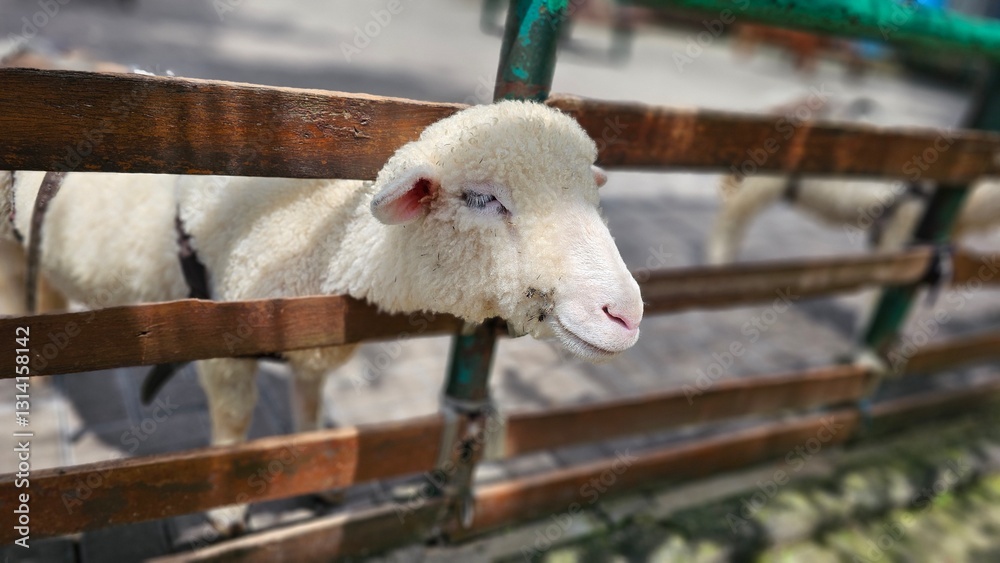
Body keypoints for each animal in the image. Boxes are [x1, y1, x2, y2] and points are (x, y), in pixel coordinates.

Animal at [3, 100, 644, 531]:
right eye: (483, 199)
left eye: (593, 195)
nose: (626, 315)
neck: (324, 237)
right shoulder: (219, 339)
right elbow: (234, 421)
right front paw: (228, 510)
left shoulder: (313, 337)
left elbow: (309, 405)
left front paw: (322, 479)